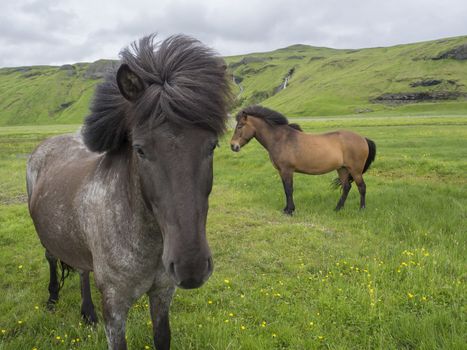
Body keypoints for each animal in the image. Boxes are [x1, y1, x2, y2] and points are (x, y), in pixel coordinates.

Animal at [26, 36, 231, 350]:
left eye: (212, 146)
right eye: (140, 149)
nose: (192, 267)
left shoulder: (162, 293)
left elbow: (161, 338)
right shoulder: (115, 306)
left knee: (83, 269)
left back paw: (87, 313)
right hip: (48, 237)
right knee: (51, 258)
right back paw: (52, 299)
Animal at [230, 104, 376, 213]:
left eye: (240, 126)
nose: (233, 146)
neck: (281, 139)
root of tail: (363, 138)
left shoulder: (287, 170)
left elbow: (289, 189)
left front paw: (290, 211)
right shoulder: (281, 171)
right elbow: (285, 189)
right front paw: (286, 209)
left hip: (355, 170)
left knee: (362, 187)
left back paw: (361, 209)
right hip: (342, 169)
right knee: (346, 187)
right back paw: (337, 208)